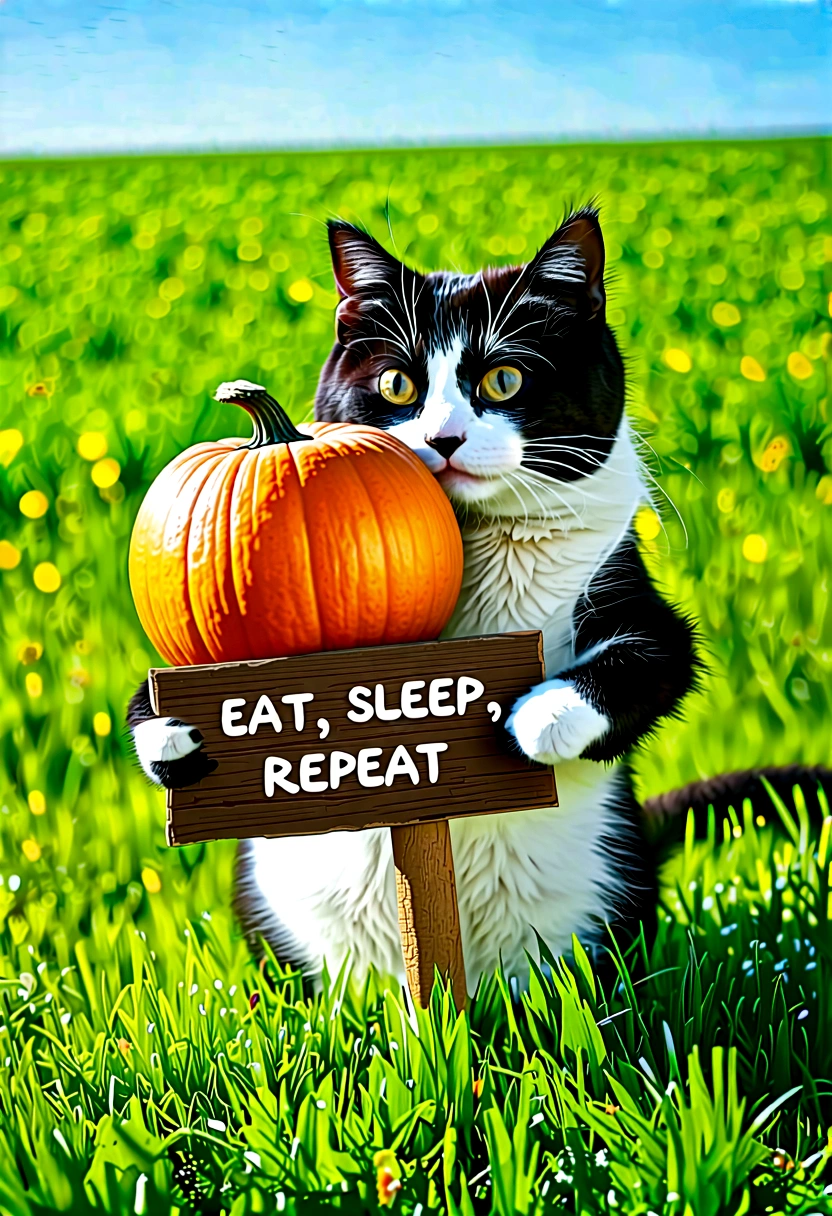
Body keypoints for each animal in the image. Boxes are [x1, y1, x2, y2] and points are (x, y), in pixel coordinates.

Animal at [128, 206, 700, 987]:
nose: (445, 436)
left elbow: (653, 654)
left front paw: (534, 717)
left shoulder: (631, 594)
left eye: (504, 379)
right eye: (399, 386)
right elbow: (158, 697)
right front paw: (173, 731)